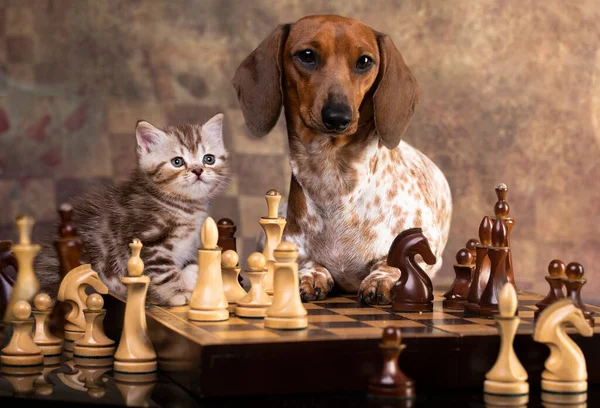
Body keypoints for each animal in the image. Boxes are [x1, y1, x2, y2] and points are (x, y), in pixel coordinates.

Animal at [35, 113, 230, 304]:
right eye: (177, 162)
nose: (198, 170)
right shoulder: (148, 241)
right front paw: (178, 293)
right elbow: (164, 272)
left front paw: (193, 280)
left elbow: (191, 265)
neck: (184, 206)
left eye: (209, 159)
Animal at [232, 15, 452, 302]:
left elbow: (394, 261)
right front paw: (311, 275)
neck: (332, 176)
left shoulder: (427, 244)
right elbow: (306, 262)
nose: (338, 116)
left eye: (365, 61)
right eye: (307, 55)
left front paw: (382, 279)